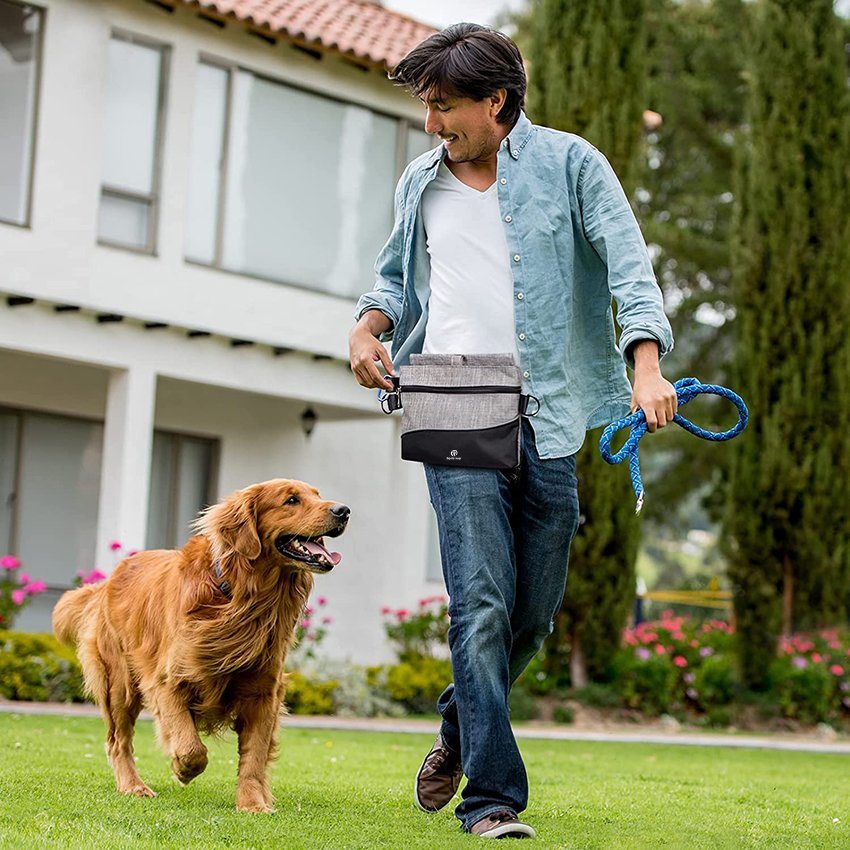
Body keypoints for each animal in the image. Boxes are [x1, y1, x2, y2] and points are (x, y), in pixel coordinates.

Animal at [52, 476, 348, 808]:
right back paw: (133, 785)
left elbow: (254, 757)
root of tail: (112, 576)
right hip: (119, 683)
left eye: (318, 495)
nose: (344, 510)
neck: (240, 598)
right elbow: (192, 748)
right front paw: (182, 769)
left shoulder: (264, 690)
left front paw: (253, 803)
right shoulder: (168, 681)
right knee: (118, 741)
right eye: (291, 500)